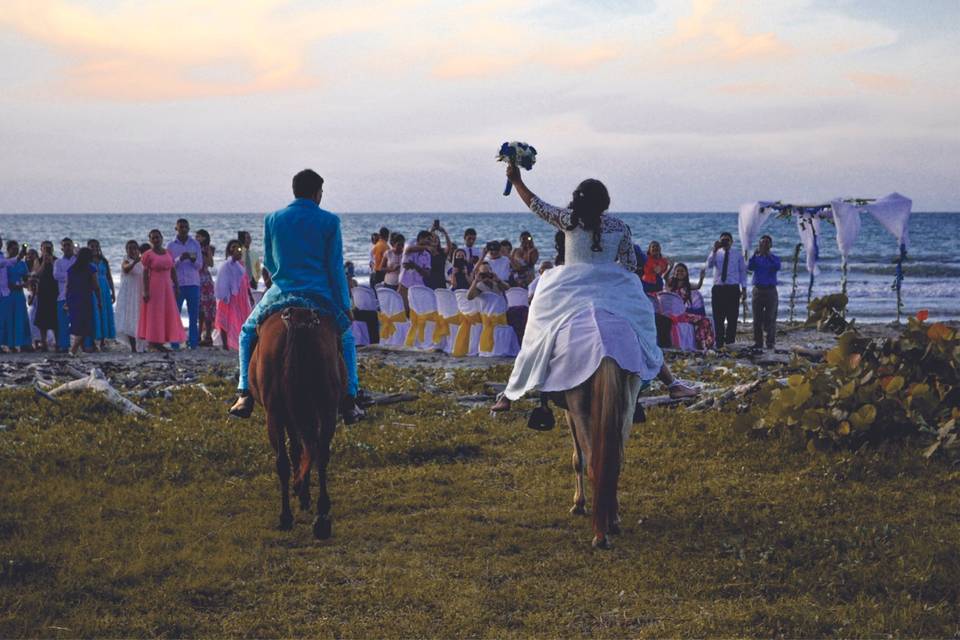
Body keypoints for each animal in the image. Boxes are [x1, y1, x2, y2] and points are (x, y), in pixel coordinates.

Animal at [248, 308, 344, 536]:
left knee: (285, 460)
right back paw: (321, 514)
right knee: (320, 453)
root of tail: (297, 318)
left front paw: (301, 492)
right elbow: (302, 450)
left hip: (276, 413)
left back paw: (287, 516)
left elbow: (296, 451)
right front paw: (303, 493)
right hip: (325, 407)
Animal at [548, 356, 644, 552]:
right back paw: (612, 522)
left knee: (593, 465)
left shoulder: (570, 412)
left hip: (579, 408)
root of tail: (607, 357)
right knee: (614, 463)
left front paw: (579, 504)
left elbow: (578, 460)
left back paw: (600, 536)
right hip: (627, 404)